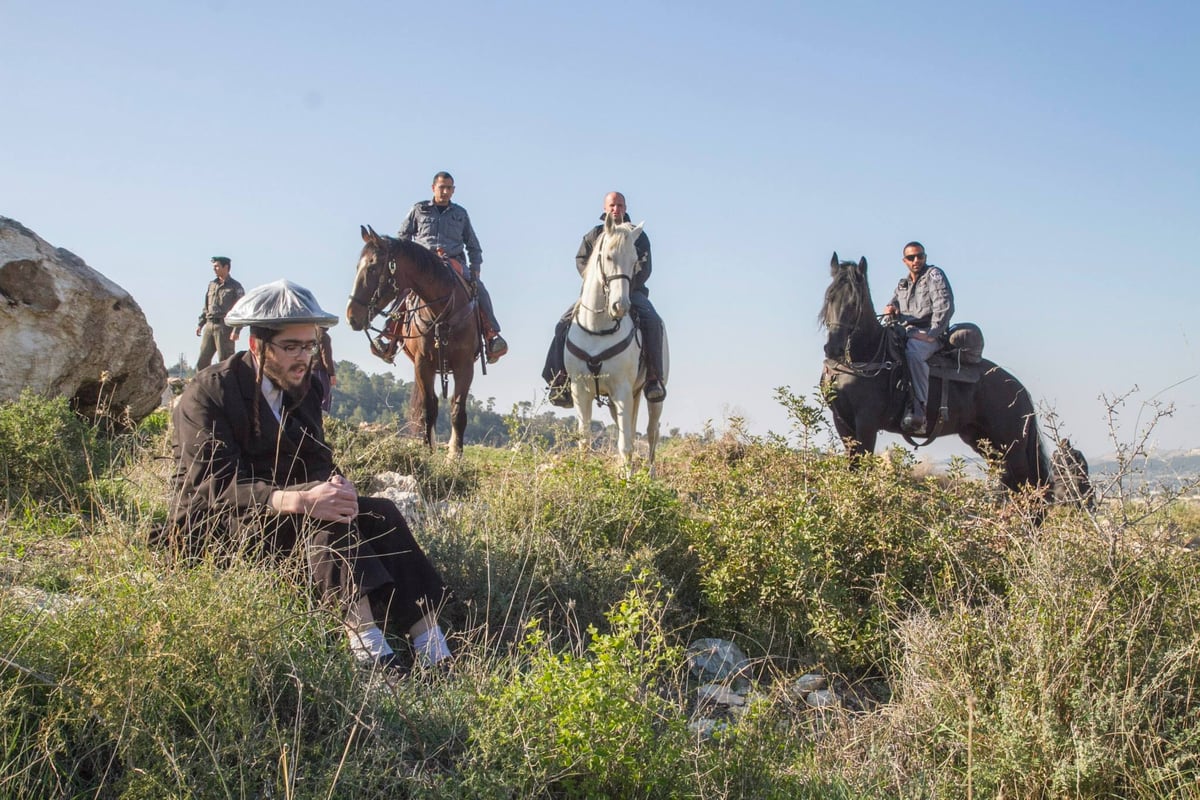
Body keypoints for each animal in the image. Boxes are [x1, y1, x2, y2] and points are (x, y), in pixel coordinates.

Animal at [348, 227, 477, 460]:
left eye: (372, 268)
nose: (351, 316)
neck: (442, 311)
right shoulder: (423, 364)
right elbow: (428, 409)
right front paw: (427, 451)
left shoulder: (465, 365)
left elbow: (457, 411)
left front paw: (455, 456)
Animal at [566, 212, 672, 474]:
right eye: (608, 256)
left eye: (635, 261)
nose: (620, 306)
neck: (597, 329)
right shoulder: (580, 391)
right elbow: (585, 442)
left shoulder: (622, 390)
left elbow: (626, 444)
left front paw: (628, 480)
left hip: (652, 394)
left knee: (651, 433)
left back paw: (651, 475)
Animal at [816, 253, 1051, 496]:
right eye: (830, 297)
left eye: (854, 302)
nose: (832, 348)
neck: (868, 355)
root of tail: (1020, 391)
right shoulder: (842, 422)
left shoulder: (867, 423)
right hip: (985, 442)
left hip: (1013, 447)